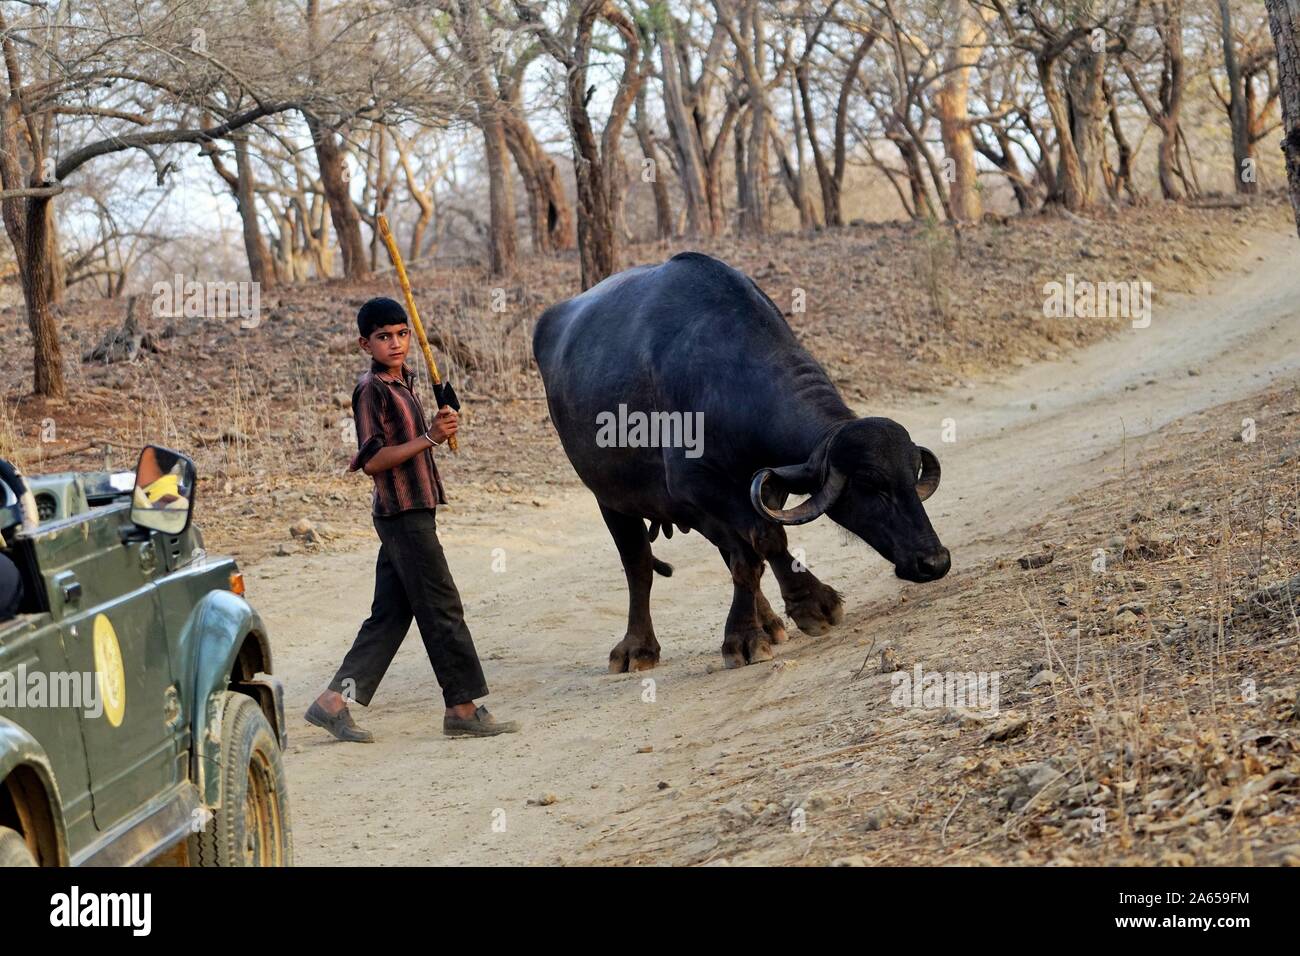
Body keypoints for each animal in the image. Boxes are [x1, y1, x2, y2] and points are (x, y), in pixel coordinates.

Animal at [533, 254, 951, 671]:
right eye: (869, 484)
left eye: (911, 477)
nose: (934, 561)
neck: (723, 375)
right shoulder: (699, 488)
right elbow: (759, 544)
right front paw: (763, 628)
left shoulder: (758, 491)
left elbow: (758, 548)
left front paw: (795, 611)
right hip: (612, 499)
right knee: (639, 567)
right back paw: (638, 647)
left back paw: (768, 622)